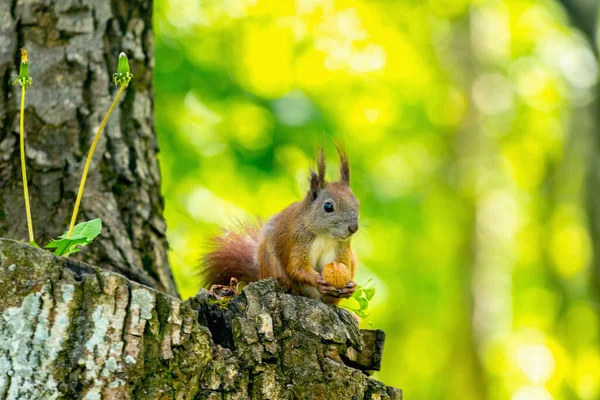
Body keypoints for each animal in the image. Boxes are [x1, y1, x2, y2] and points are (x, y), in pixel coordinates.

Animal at [199, 147, 358, 304]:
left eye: (357, 203)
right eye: (328, 206)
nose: (353, 228)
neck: (324, 235)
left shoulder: (342, 248)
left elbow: (342, 264)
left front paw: (350, 286)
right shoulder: (298, 239)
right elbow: (296, 267)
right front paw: (318, 280)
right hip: (269, 259)